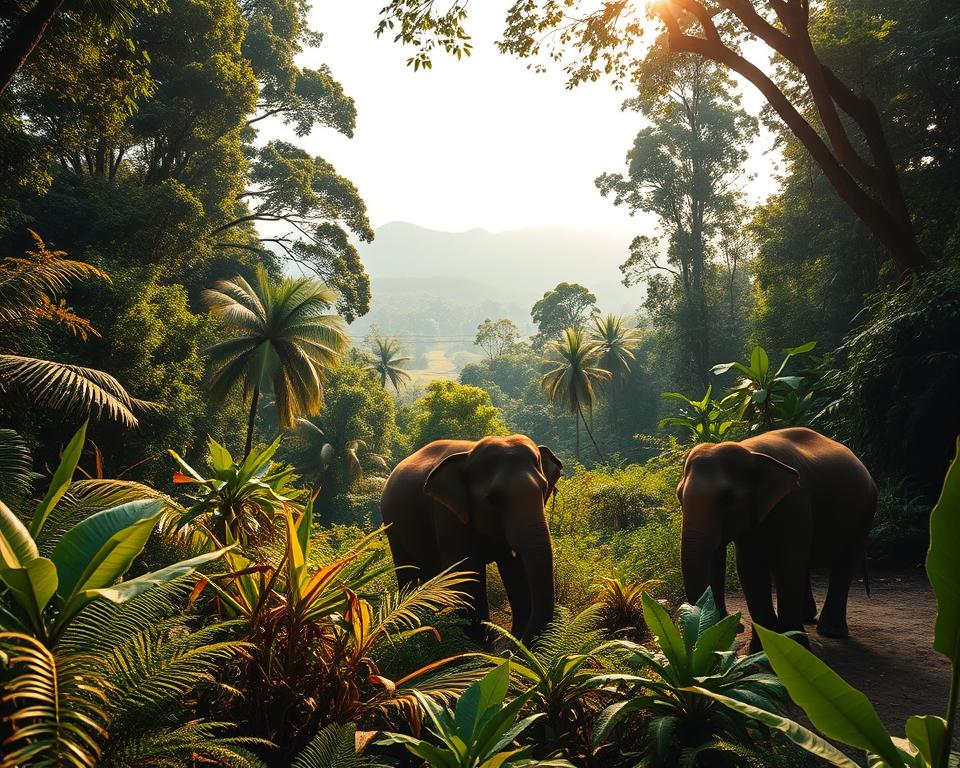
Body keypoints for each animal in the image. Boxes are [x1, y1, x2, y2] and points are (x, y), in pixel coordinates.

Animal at [380, 434, 563, 643]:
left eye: (544, 489)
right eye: (493, 499)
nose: (519, 643)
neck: (468, 454)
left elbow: (514, 570)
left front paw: (512, 641)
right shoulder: (447, 514)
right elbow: (468, 572)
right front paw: (482, 646)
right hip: (392, 526)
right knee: (406, 571)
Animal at [677, 427, 876, 648]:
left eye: (728, 499)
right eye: (679, 497)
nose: (736, 626)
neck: (750, 450)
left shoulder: (795, 502)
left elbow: (786, 565)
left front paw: (793, 646)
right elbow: (749, 568)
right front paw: (760, 648)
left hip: (865, 513)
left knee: (844, 563)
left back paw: (831, 631)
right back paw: (808, 617)